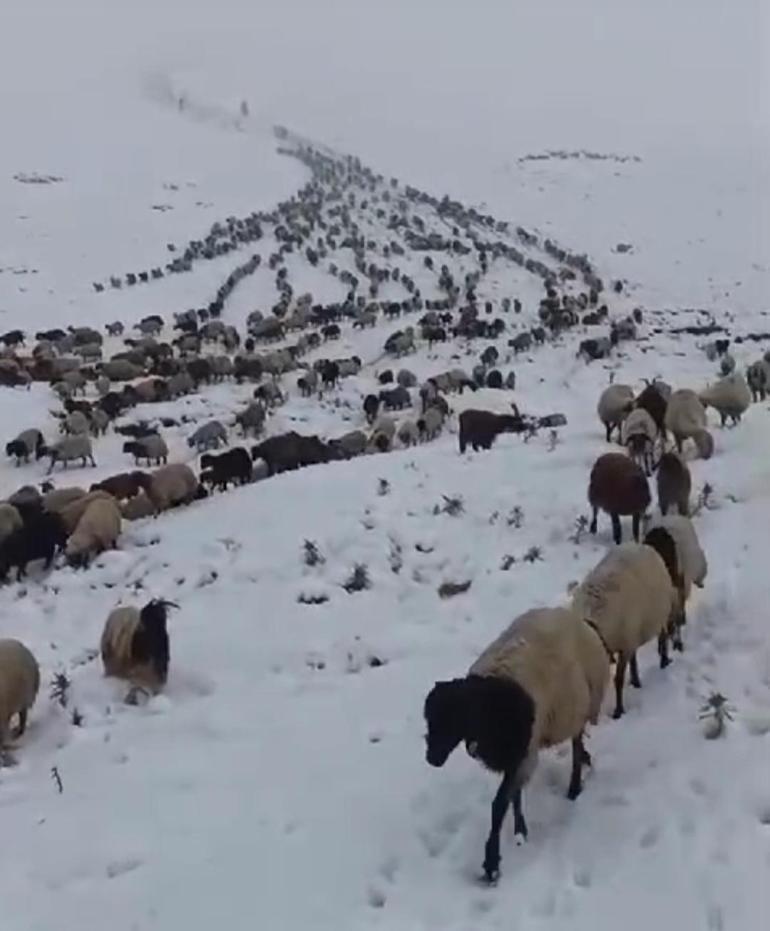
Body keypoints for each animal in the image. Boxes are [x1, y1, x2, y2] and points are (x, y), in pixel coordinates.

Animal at [420, 608, 608, 884]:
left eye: (454, 718)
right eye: (429, 719)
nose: (432, 758)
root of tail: (578, 619)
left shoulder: (523, 754)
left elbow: (499, 806)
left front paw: (491, 864)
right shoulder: (516, 757)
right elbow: (514, 797)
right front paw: (520, 832)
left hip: (581, 704)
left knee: (575, 743)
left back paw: (574, 787)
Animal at [568, 532, 680, 720]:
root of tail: (642, 545)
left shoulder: (625, 644)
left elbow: (618, 680)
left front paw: (618, 711)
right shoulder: (625, 642)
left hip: (660, 611)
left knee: (663, 634)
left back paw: (664, 661)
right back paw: (637, 680)